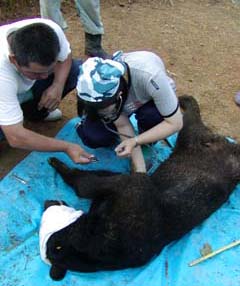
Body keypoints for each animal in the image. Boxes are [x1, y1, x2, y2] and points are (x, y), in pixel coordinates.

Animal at [45, 95, 240, 280]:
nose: (49, 202)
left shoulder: (128, 185)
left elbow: (84, 183)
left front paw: (58, 164)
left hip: (190, 135)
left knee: (190, 117)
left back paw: (184, 99)